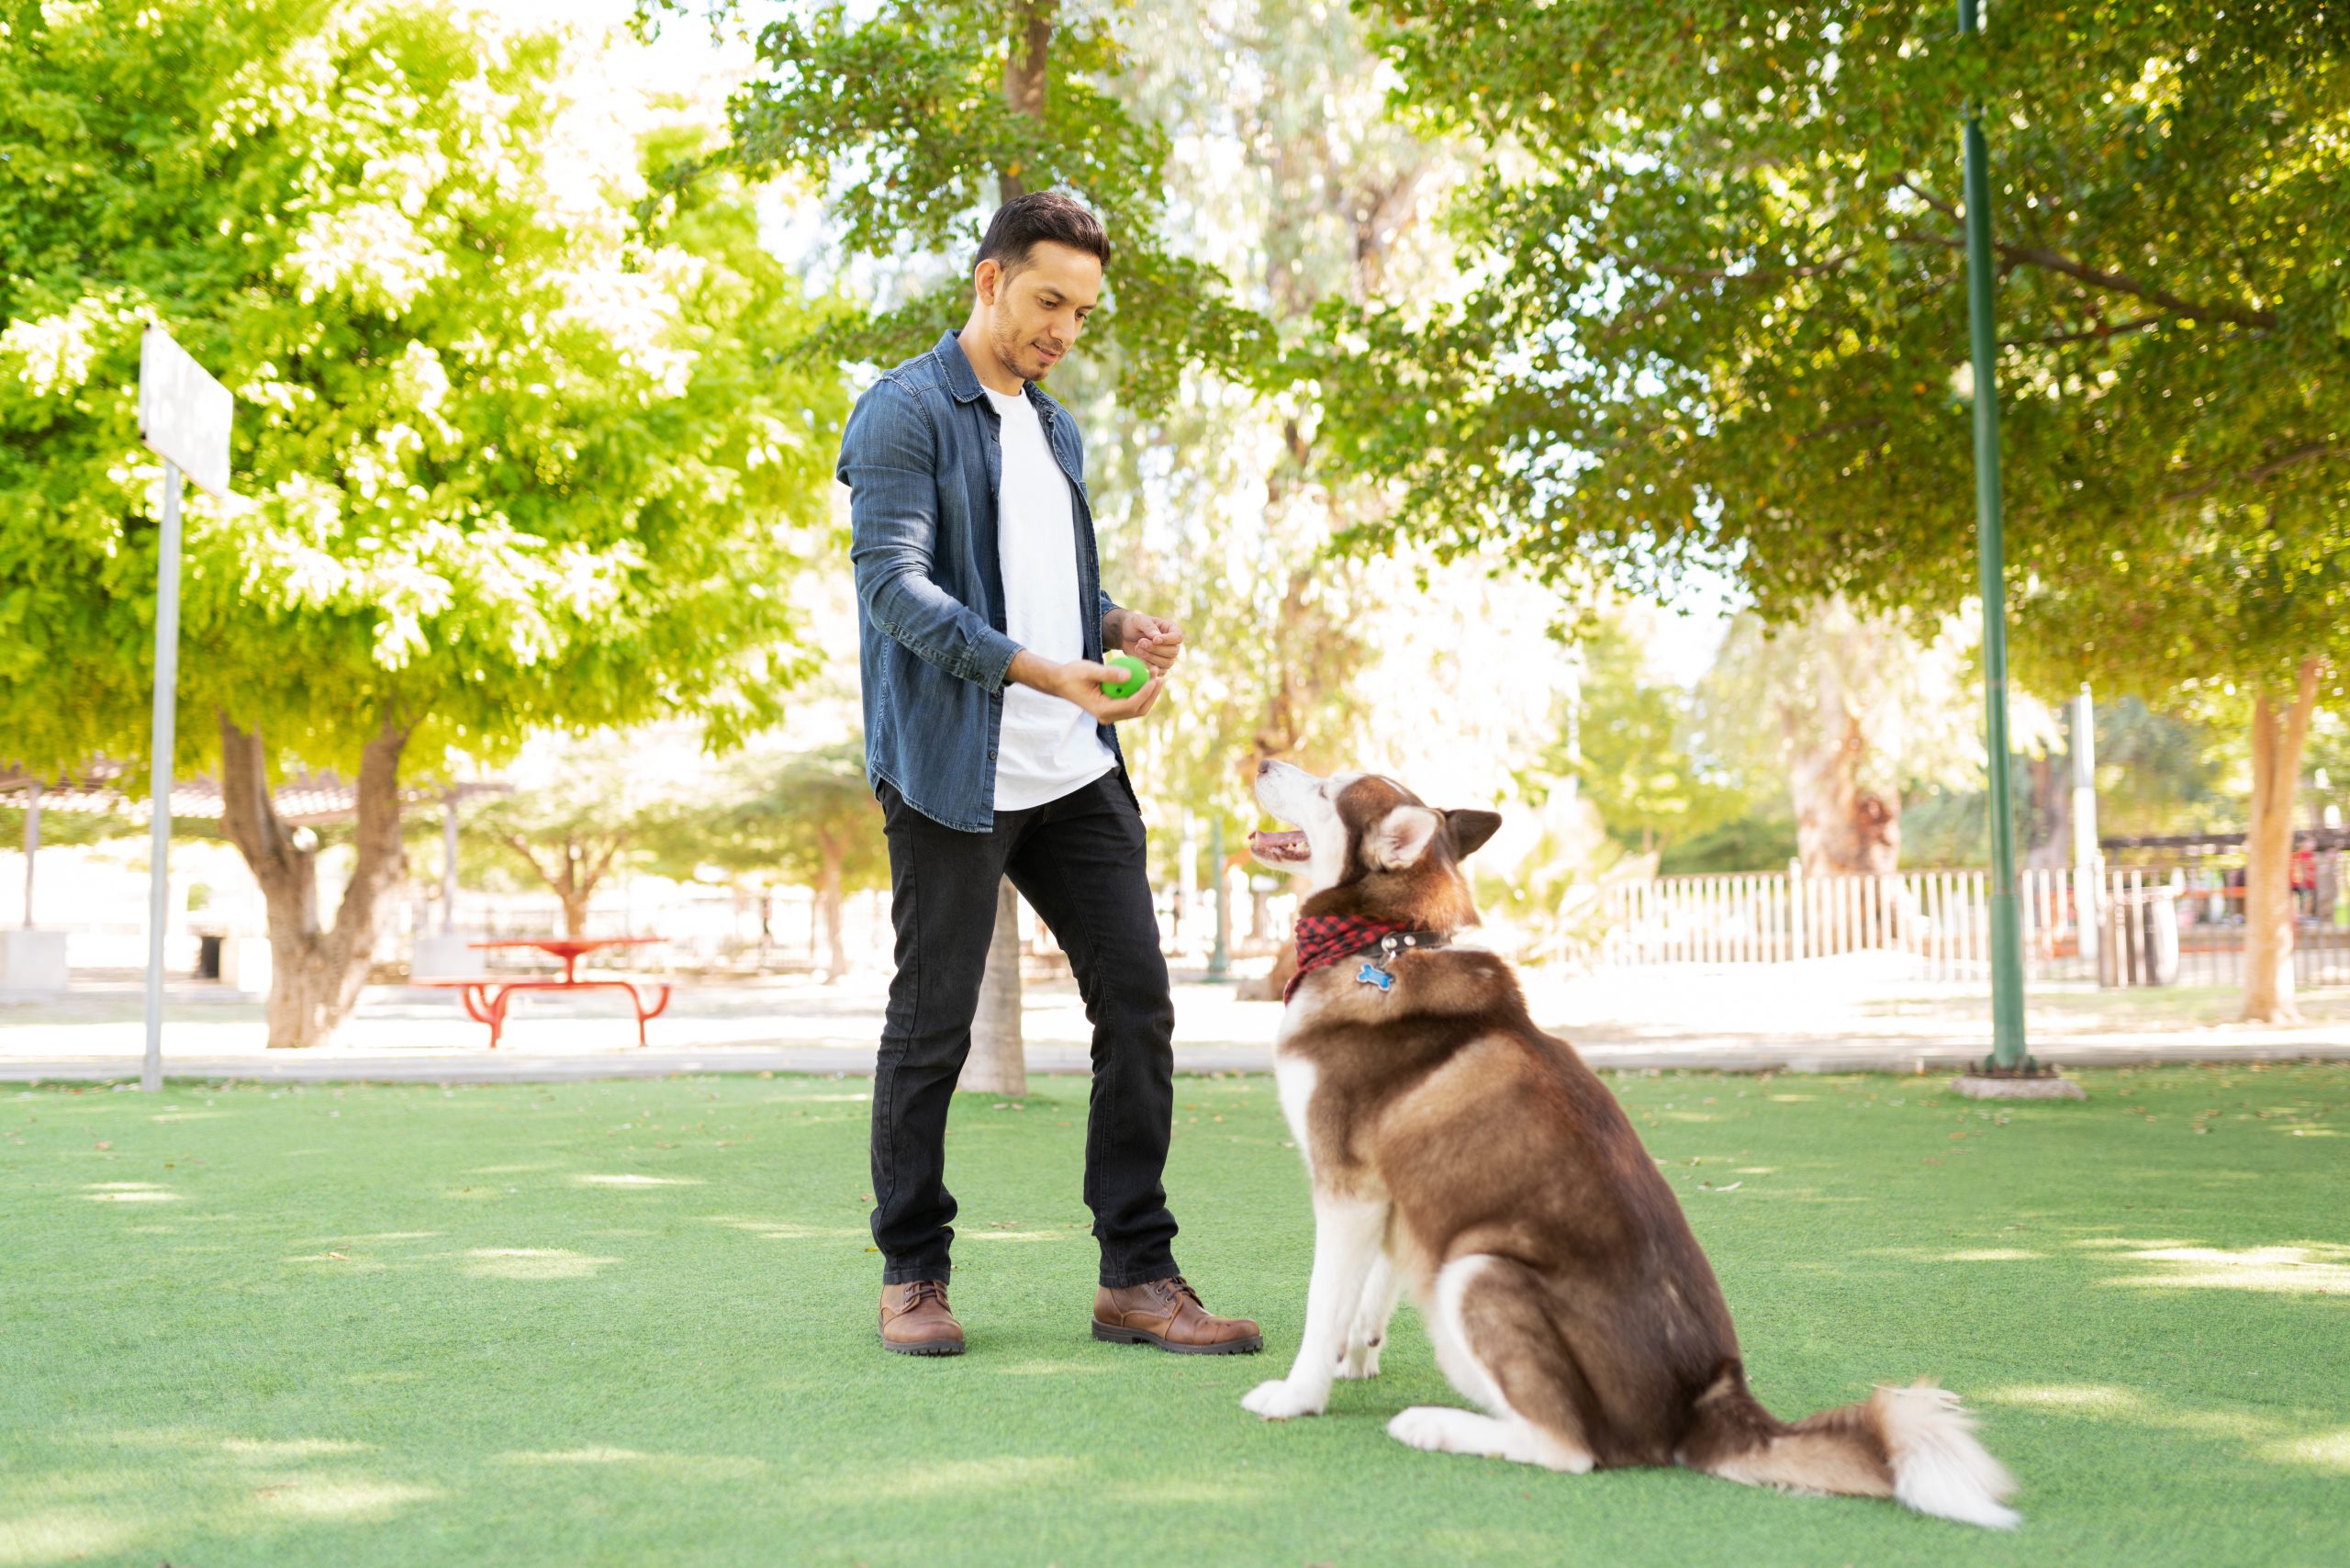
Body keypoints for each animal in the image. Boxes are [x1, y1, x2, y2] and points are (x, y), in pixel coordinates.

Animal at [1231, 761, 2020, 1532]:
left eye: (1328, 787)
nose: (1263, 760)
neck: (1385, 944)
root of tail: (1710, 1402)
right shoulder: (1395, 1193)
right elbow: (1368, 1289)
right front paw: (1355, 1355)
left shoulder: (1346, 1183)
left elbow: (1321, 1302)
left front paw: (1299, 1394)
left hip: (1477, 1271)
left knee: (1570, 1447)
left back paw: (1435, 1426)